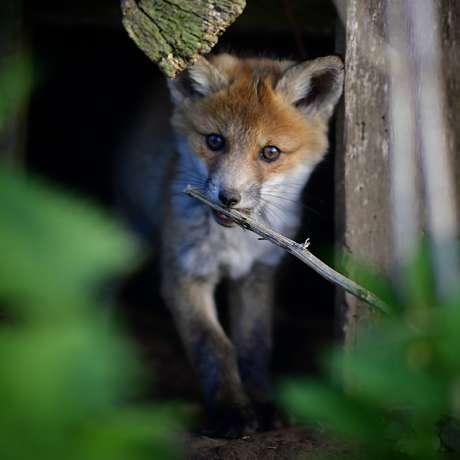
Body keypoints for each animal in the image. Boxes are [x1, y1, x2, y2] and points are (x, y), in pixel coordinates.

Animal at [160, 53, 344, 438]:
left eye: (270, 152)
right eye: (215, 141)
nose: (228, 197)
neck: (235, 246)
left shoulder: (259, 273)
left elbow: (254, 341)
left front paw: (262, 403)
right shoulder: (184, 275)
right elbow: (214, 345)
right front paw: (230, 409)